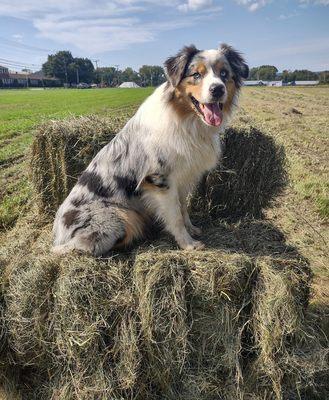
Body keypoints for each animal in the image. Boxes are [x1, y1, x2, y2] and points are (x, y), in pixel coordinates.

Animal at [52, 43, 247, 256]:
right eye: (196, 74)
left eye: (224, 73)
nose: (218, 89)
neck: (186, 120)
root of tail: (58, 233)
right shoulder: (160, 180)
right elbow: (175, 216)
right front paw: (187, 243)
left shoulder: (184, 178)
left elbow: (183, 208)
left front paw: (191, 228)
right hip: (115, 220)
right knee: (78, 246)